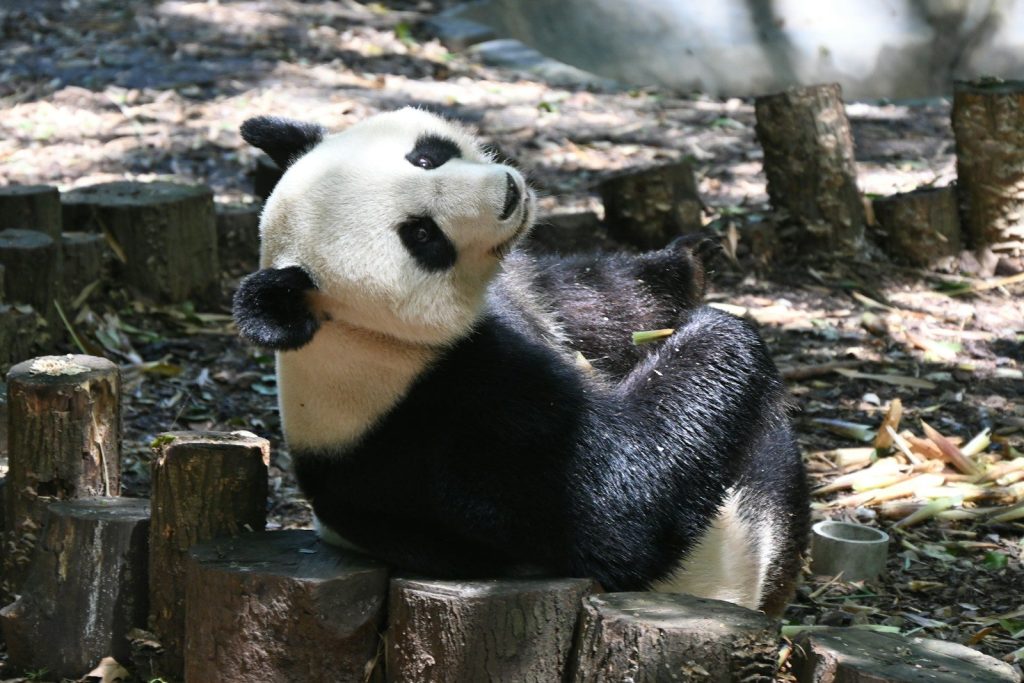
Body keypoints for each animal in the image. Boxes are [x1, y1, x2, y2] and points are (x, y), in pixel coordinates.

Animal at [233, 107, 809, 617]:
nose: (509, 194)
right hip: (739, 547)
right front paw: (719, 329)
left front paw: (689, 262)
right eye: (422, 235)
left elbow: (581, 301)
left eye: (426, 157)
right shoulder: (448, 418)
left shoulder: (512, 300)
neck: (356, 331)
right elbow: (616, 506)